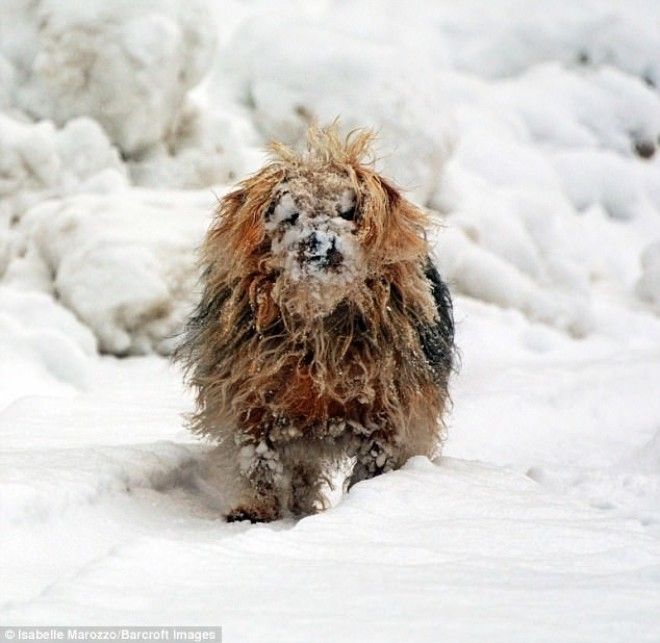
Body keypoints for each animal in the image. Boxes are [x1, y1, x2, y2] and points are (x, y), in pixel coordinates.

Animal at [174, 127, 454, 524]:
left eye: (347, 212)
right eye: (291, 215)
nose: (320, 242)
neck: (317, 314)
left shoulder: (393, 411)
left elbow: (377, 461)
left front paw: (366, 500)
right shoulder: (249, 399)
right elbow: (258, 460)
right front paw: (256, 506)